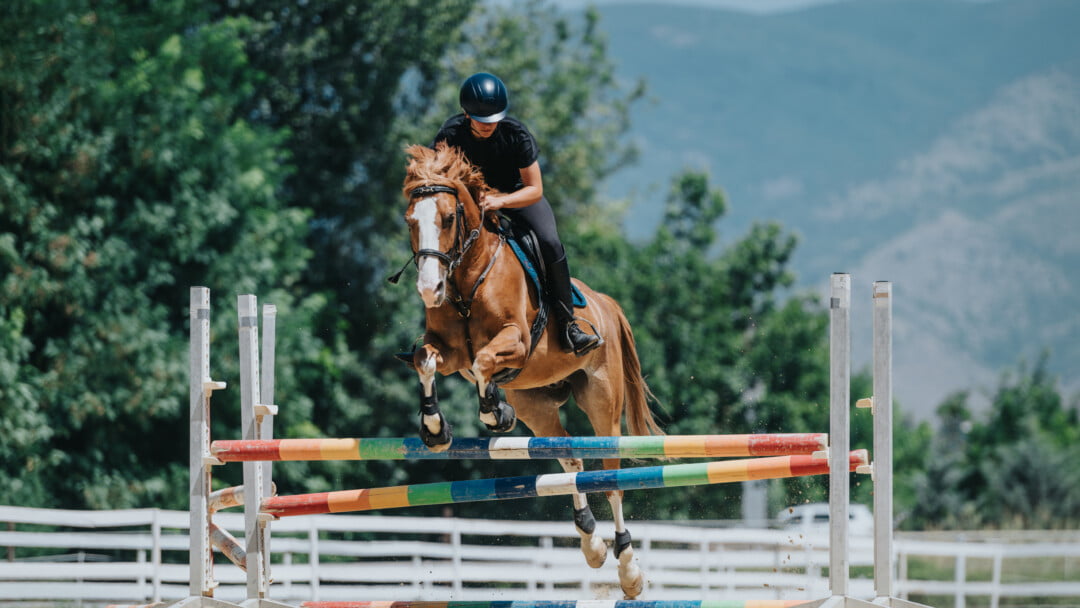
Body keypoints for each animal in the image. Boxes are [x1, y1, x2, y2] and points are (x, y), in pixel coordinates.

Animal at [396, 142, 663, 599]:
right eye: (412, 221)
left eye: (447, 219)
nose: (430, 290)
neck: (467, 280)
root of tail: (605, 303)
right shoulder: (449, 352)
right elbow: (425, 361)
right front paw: (434, 428)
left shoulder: (516, 342)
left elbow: (485, 361)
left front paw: (492, 413)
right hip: (535, 406)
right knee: (571, 460)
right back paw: (591, 544)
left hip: (602, 402)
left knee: (608, 478)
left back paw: (629, 569)